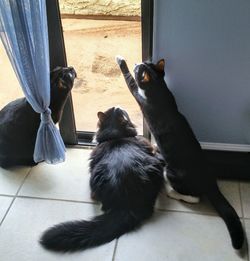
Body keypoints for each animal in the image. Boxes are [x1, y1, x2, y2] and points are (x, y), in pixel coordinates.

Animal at [116, 54, 244, 248]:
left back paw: (172, 193)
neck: (159, 88)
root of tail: (209, 180)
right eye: (144, 62)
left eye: (139, 69)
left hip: (171, 171)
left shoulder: (140, 96)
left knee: (194, 197)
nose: (138, 62)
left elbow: (130, 81)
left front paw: (121, 61)